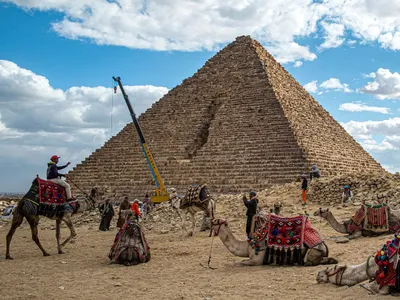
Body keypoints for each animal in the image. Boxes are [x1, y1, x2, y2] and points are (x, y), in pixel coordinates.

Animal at [209, 218, 338, 268]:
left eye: (217, 221)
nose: (209, 221)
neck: (248, 245)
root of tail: (324, 245)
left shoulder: (257, 260)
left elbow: (240, 263)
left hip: (313, 250)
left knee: (311, 261)